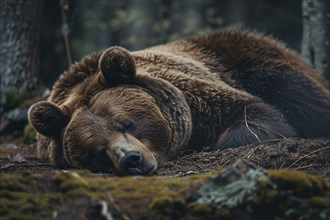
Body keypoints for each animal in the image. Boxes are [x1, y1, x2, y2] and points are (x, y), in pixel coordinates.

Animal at [28, 30, 330, 175]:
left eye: (127, 123)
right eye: (97, 150)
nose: (131, 159)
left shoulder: (199, 98)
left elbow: (257, 117)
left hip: (254, 60)